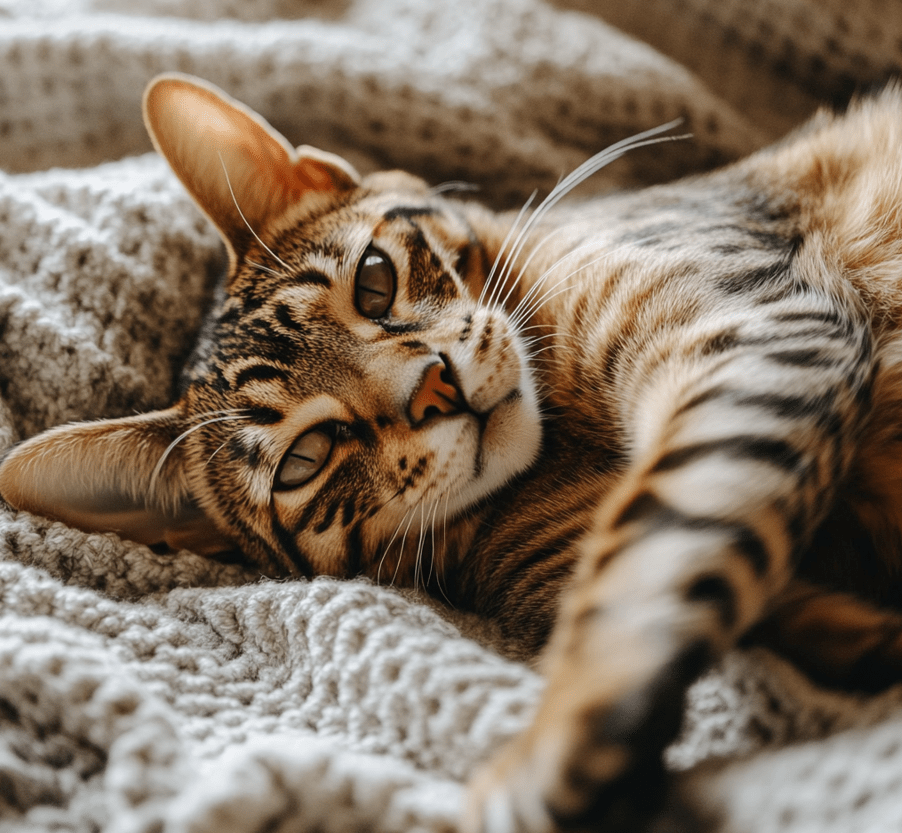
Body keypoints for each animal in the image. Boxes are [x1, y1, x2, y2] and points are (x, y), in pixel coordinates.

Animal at [5, 73, 902, 832]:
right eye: (306, 457)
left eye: (374, 280)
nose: (433, 388)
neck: (565, 444)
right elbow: (672, 568)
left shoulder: (756, 330)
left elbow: (639, 565)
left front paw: (541, 751)